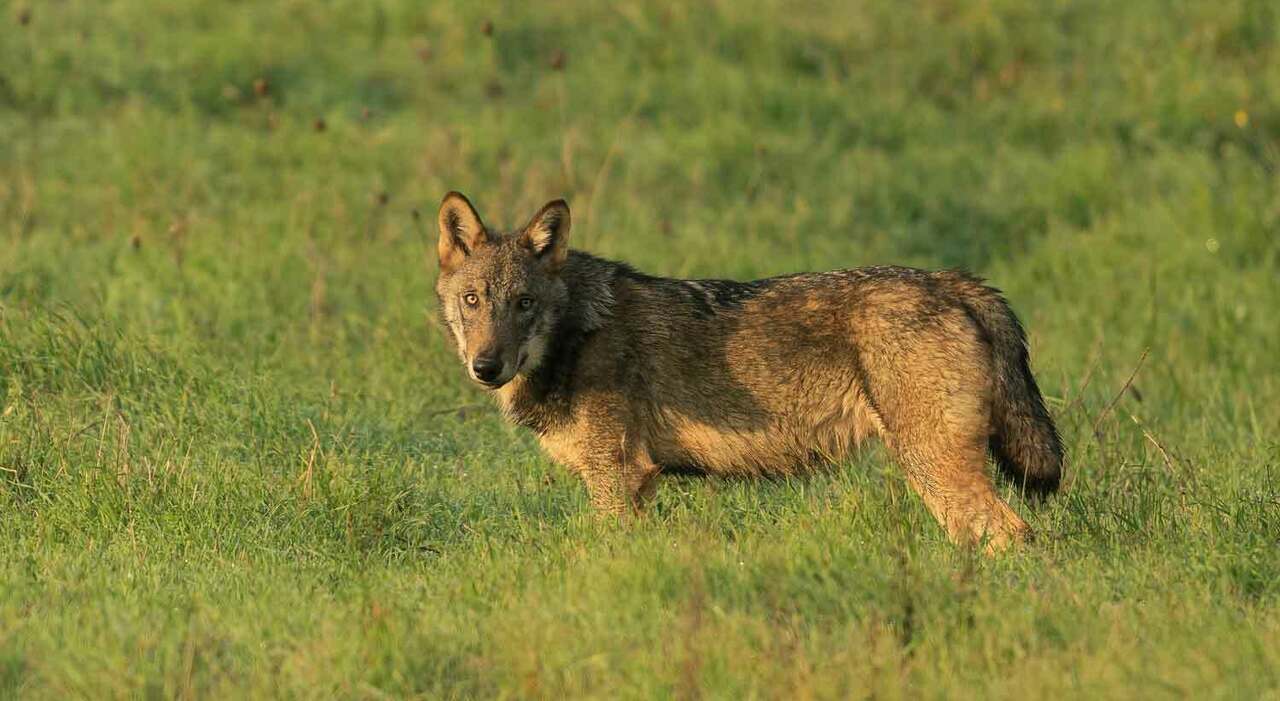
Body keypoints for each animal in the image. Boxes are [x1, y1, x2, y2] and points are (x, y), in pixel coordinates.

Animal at [432, 191, 1063, 551]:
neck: (575, 336)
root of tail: (950, 280)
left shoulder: (618, 478)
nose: (486, 366)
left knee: (1012, 535)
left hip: (931, 466)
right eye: (472, 301)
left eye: (524, 304)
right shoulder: (637, 485)